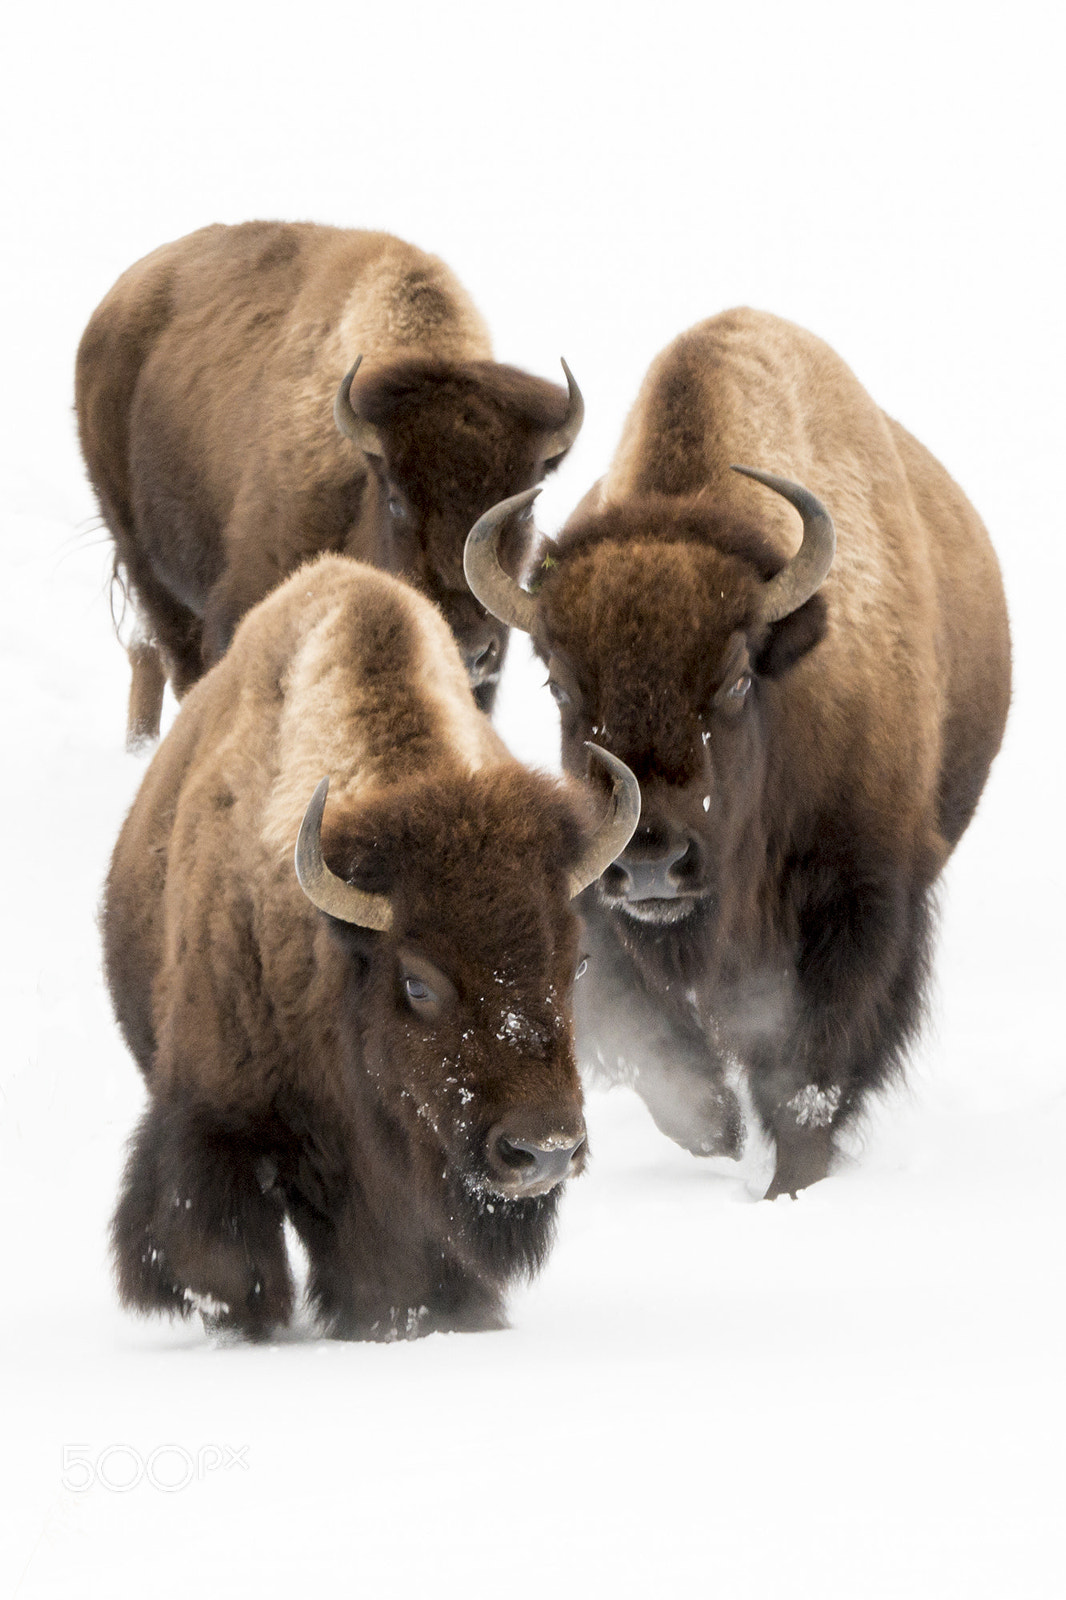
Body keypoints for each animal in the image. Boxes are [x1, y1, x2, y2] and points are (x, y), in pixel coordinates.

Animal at [465, 307, 1011, 1197]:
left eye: (734, 679)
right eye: (558, 683)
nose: (651, 861)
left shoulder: (860, 898)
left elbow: (809, 1075)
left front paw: (792, 1185)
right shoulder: (597, 904)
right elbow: (660, 1054)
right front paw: (717, 1133)